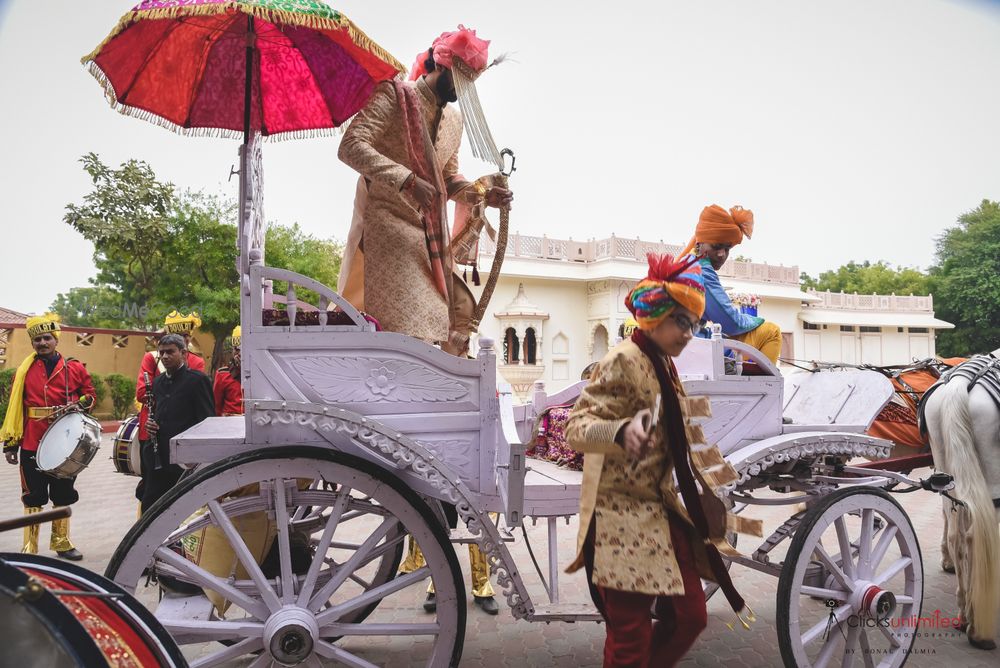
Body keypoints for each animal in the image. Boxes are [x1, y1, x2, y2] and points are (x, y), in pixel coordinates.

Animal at [920, 354, 1000, 652]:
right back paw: (978, 629)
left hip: (946, 470)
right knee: (975, 536)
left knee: (958, 535)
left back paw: (964, 612)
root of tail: (959, 383)